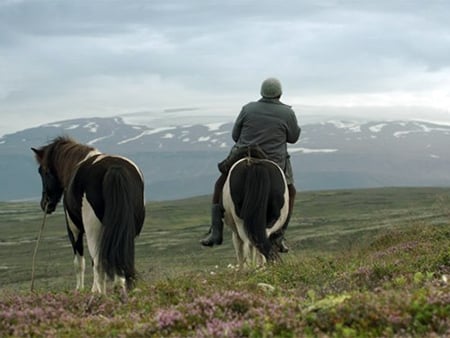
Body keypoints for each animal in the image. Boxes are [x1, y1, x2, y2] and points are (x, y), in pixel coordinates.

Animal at [31, 137, 144, 294]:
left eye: (43, 171)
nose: (45, 204)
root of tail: (115, 168)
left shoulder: (73, 229)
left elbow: (80, 262)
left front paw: (81, 289)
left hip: (93, 229)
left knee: (98, 263)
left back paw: (100, 294)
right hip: (127, 229)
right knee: (120, 257)